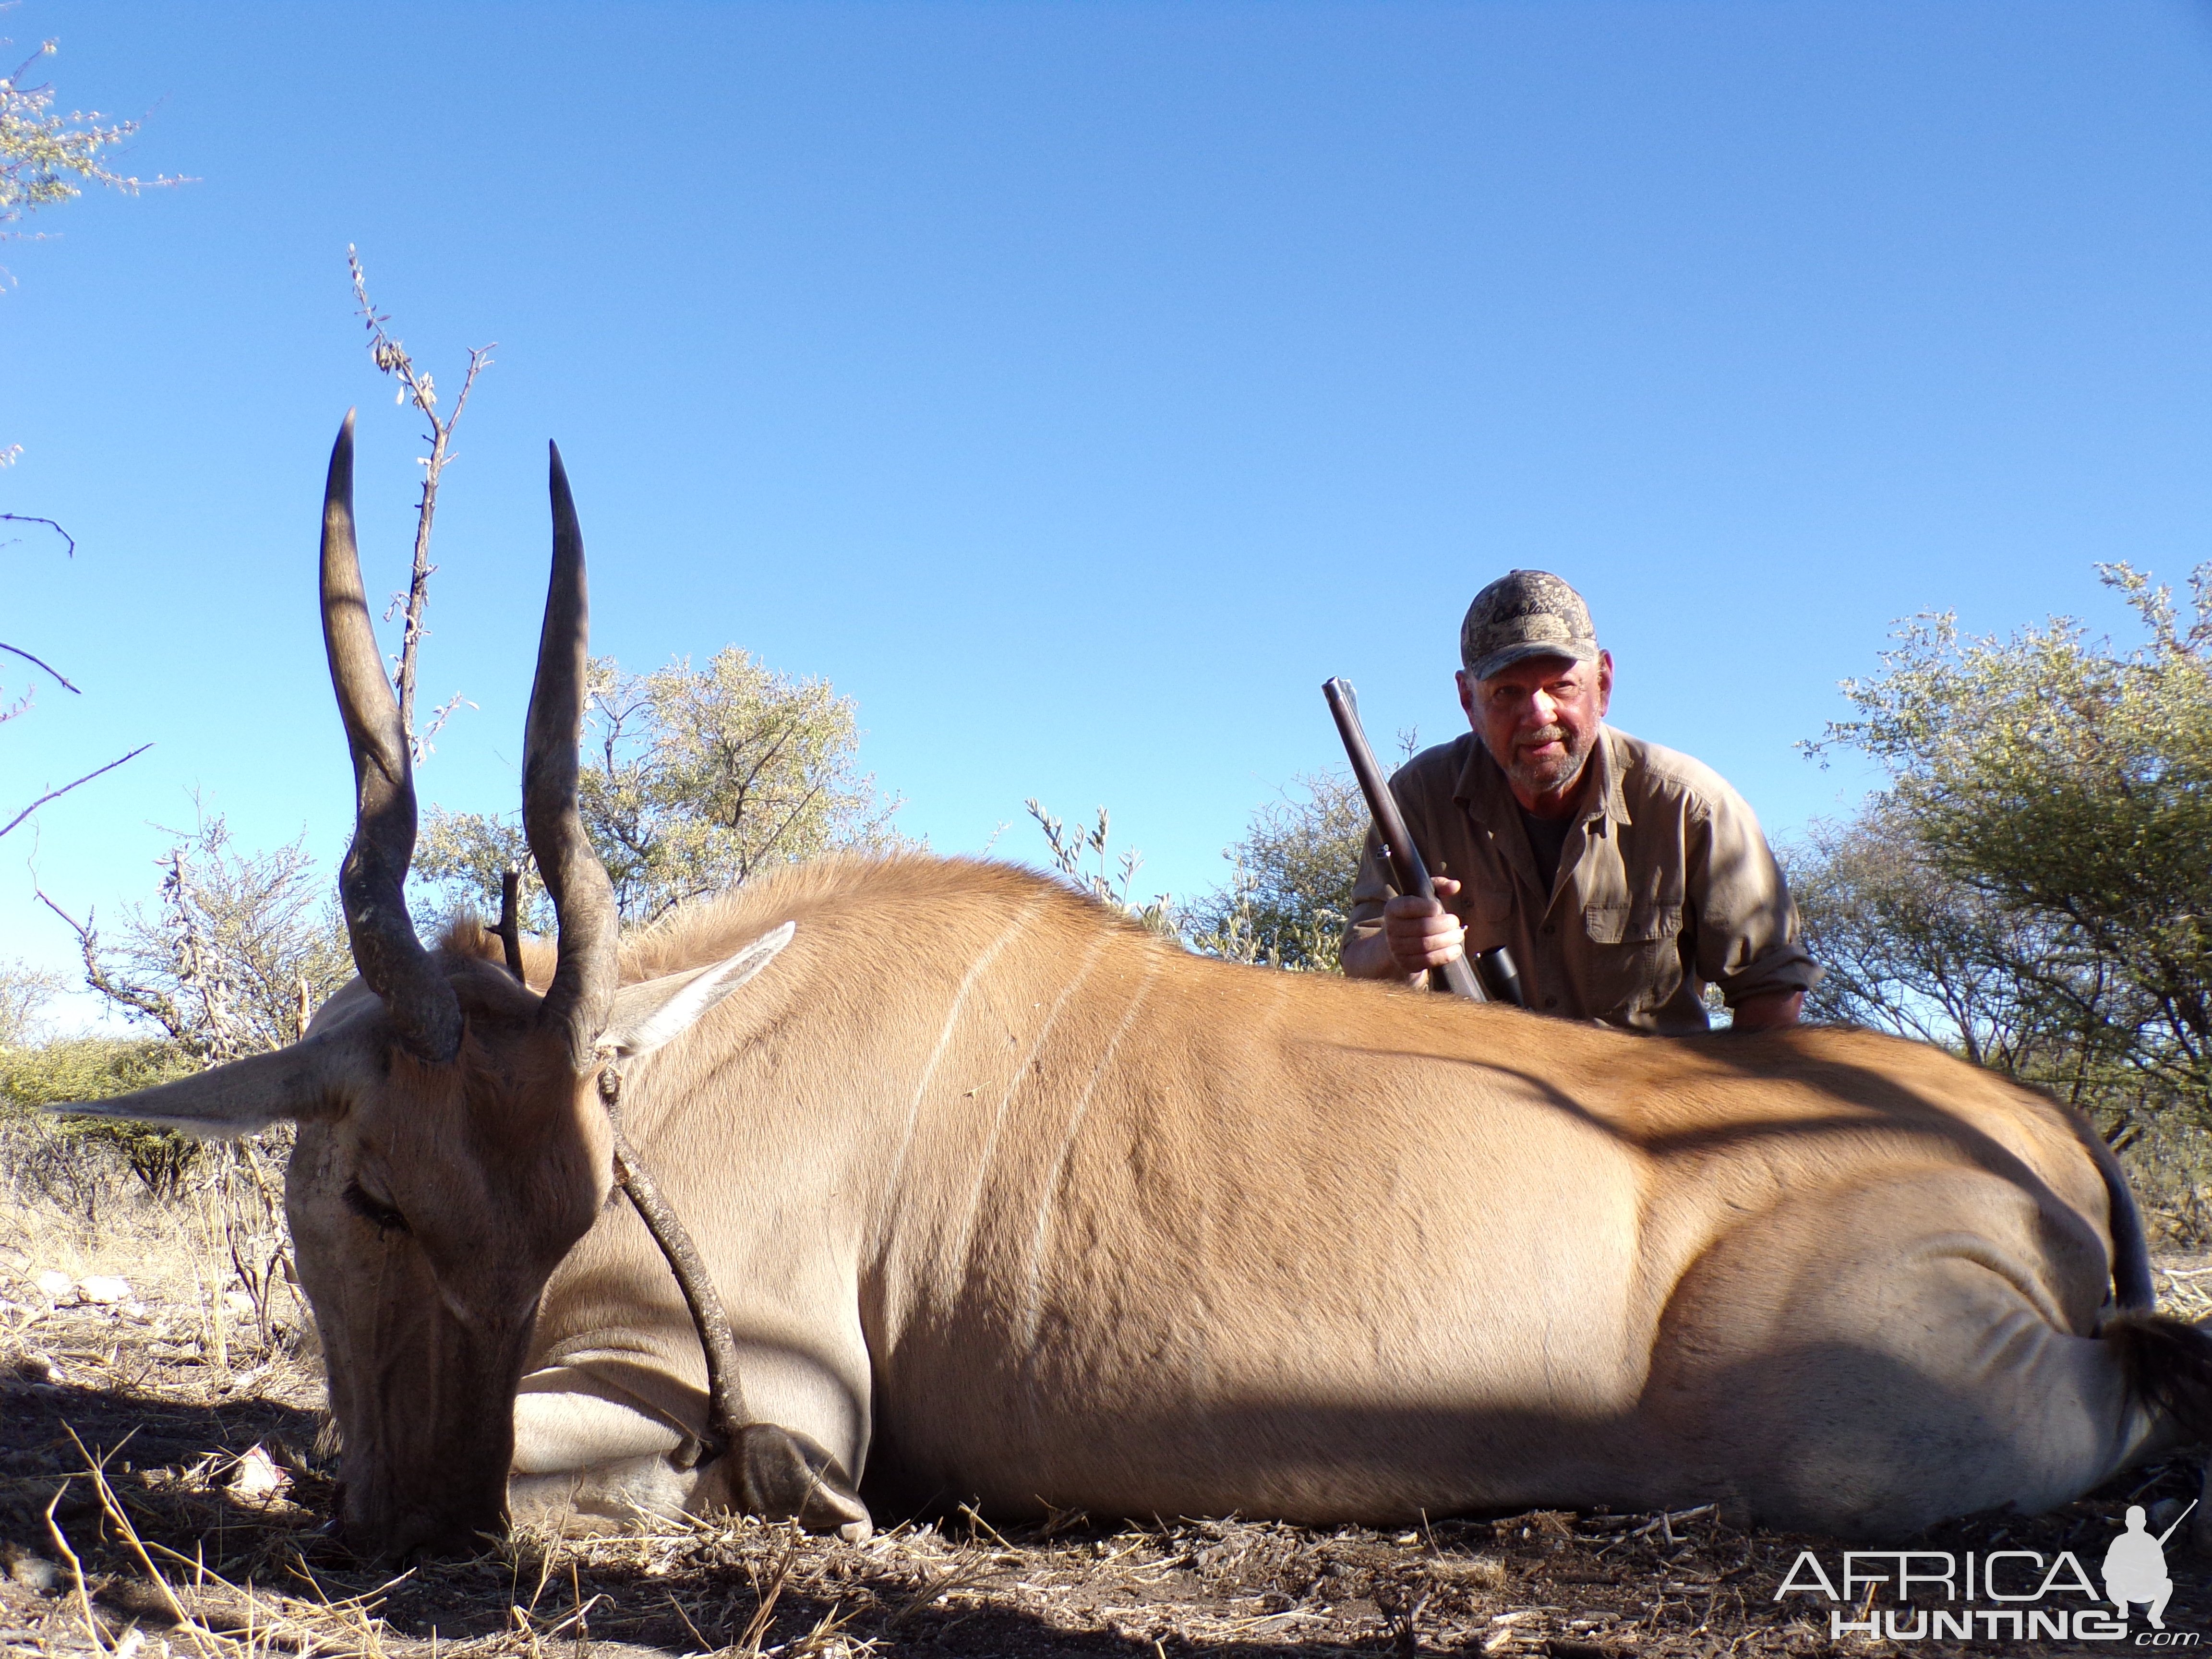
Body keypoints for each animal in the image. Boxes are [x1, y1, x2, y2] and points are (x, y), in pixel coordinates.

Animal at [60, 422, 2212, 1566]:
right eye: (370, 1192)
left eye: (579, 1194)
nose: (412, 1522)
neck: (704, 1047)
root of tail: (2045, 1141)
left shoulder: (754, 1386)